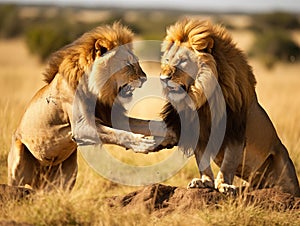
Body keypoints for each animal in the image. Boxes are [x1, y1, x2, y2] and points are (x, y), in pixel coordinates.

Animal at [7, 22, 171, 189]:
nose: (145, 78)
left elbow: (145, 123)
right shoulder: (81, 127)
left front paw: (170, 132)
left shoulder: (110, 117)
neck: (96, 91)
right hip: (18, 160)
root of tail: (39, 181)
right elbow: (119, 134)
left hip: (67, 174)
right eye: (128, 64)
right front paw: (143, 144)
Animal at [158, 18, 298, 197]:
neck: (201, 97)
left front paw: (224, 185)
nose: (163, 78)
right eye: (167, 61)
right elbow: (202, 161)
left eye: (183, 61)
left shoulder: (235, 132)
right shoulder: (199, 133)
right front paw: (204, 182)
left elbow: (229, 162)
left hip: (285, 171)